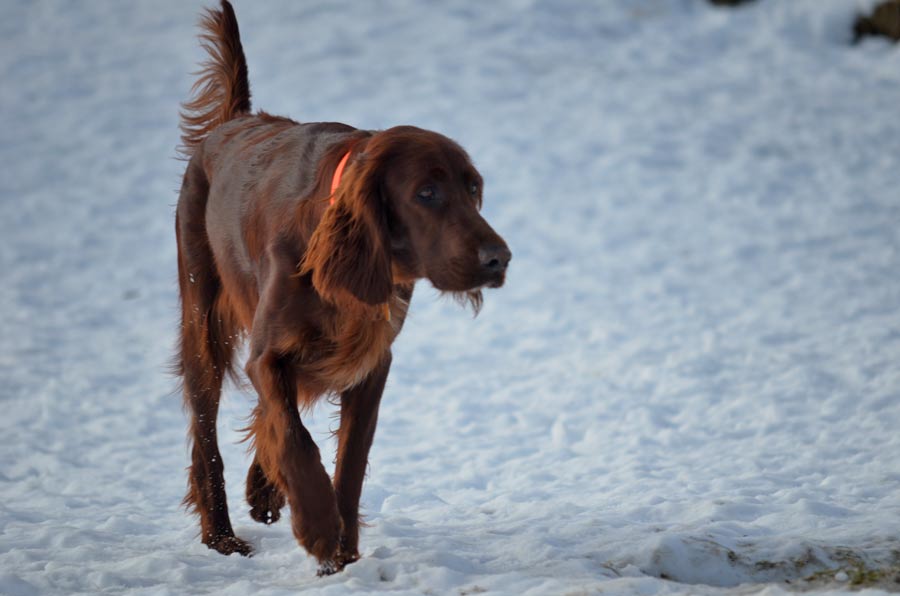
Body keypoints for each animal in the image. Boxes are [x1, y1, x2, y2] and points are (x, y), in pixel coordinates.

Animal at [172, 1, 510, 576]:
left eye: (472, 188)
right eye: (426, 192)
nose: (498, 259)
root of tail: (233, 121)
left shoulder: (371, 363)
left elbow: (347, 460)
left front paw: (341, 553)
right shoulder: (268, 352)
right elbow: (295, 436)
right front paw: (317, 527)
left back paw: (263, 492)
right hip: (202, 325)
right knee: (206, 435)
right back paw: (222, 537)